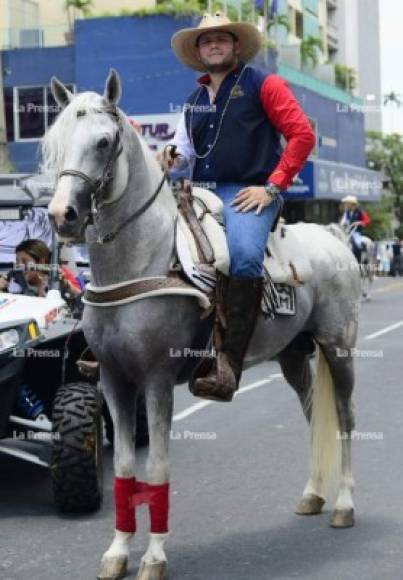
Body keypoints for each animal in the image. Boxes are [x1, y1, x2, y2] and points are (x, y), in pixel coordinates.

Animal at [45, 71, 362, 580]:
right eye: (54, 142)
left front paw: (154, 556)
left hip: (339, 349)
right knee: (314, 412)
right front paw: (117, 551)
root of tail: (334, 238)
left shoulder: (156, 380)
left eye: (103, 141)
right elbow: (124, 470)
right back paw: (314, 494)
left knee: (345, 419)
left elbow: (156, 468)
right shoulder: (113, 380)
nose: (62, 216)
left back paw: (344, 505)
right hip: (293, 355)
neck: (140, 260)